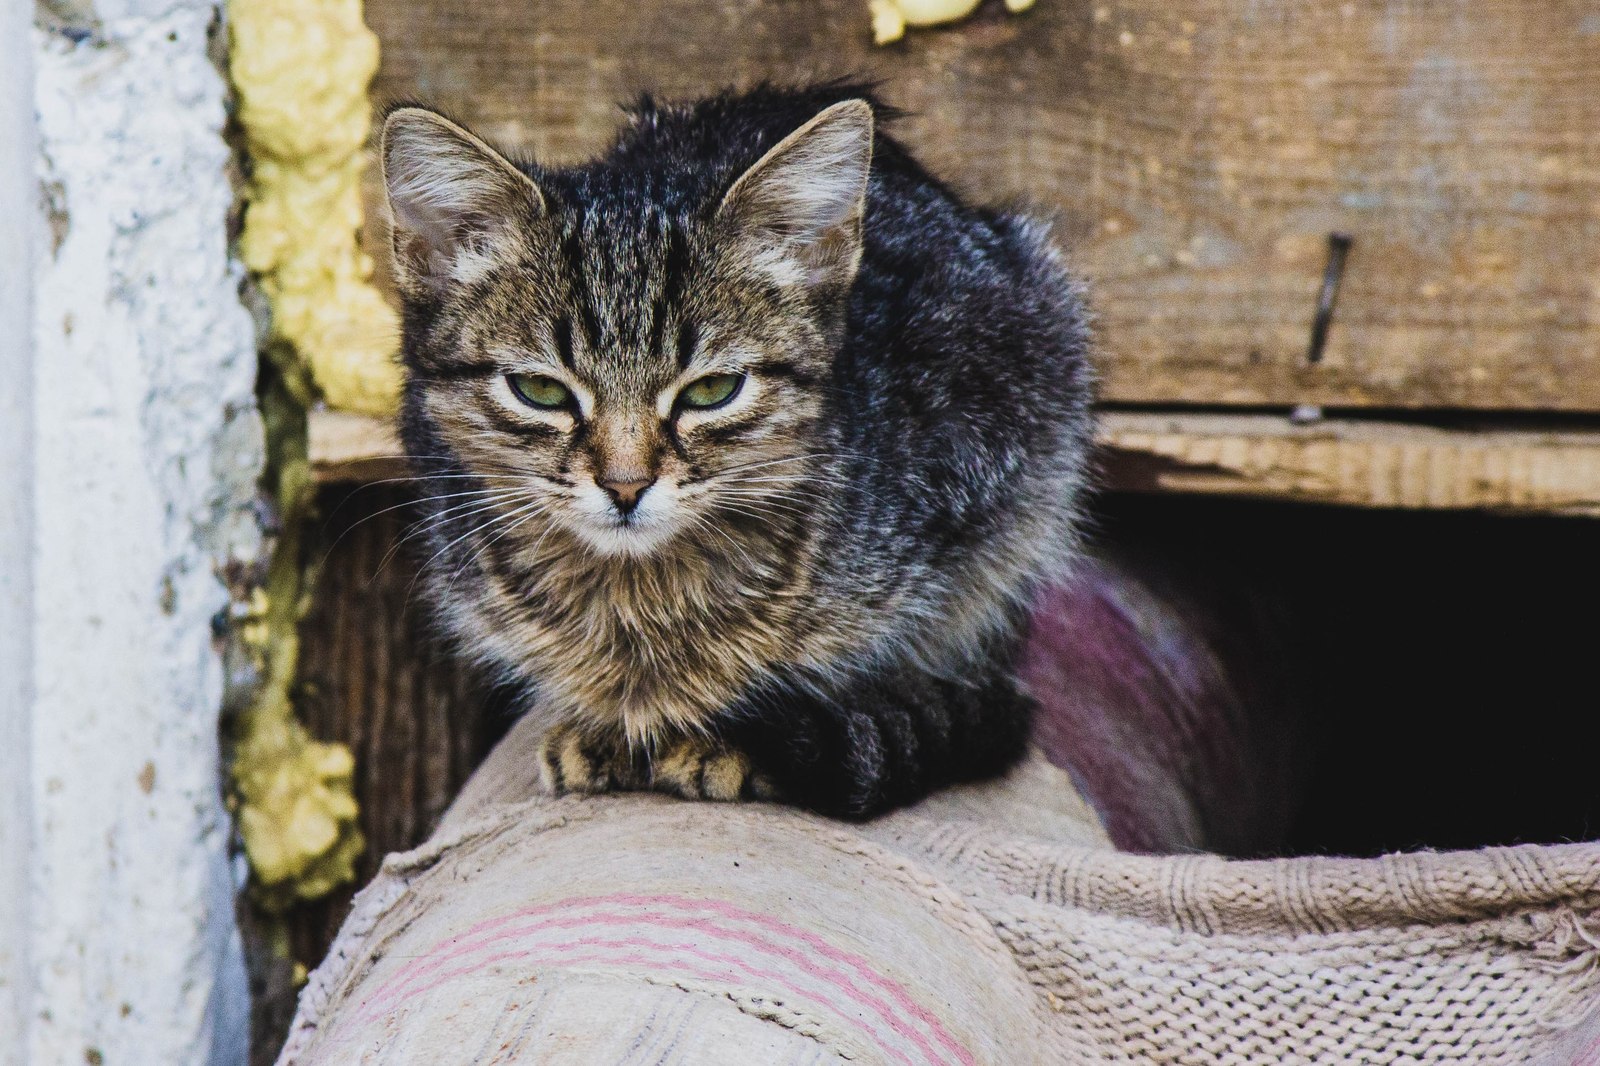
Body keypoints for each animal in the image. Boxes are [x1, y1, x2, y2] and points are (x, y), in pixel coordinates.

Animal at [380, 83, 1094, 816]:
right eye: (541, 390)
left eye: (713, 391)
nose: (625, 484)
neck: (637, 603)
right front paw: (604, 726)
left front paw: (724, 741)